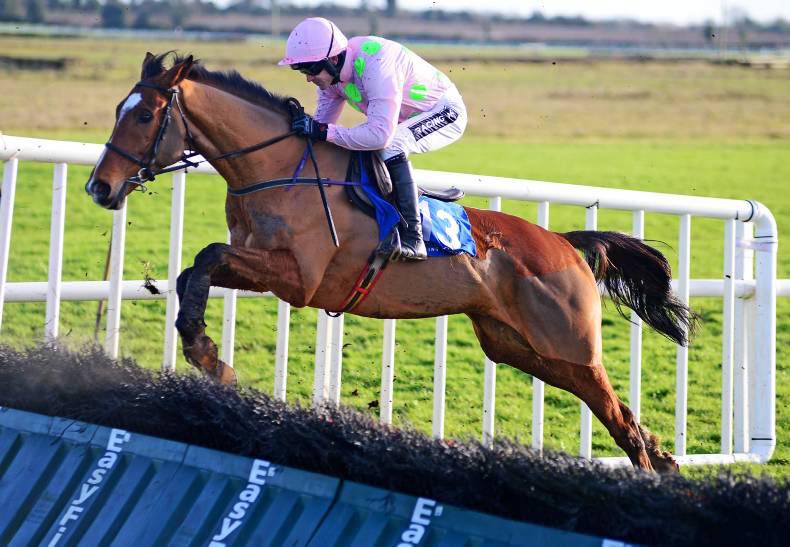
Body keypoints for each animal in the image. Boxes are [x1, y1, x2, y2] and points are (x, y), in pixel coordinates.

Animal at [85, 52, 695, 472]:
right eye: (117, 111)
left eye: (145, 116)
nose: (99, 187)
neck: (279, 169)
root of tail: (565, 243)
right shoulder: (262, 265)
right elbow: (195, 270)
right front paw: (204, 350)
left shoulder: (299, 278)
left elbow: (207, 256)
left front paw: (209, 355)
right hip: (521, 348)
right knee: (616, 412)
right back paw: (664, 459)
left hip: (570, 346)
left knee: (618, 416)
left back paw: (652, 473)